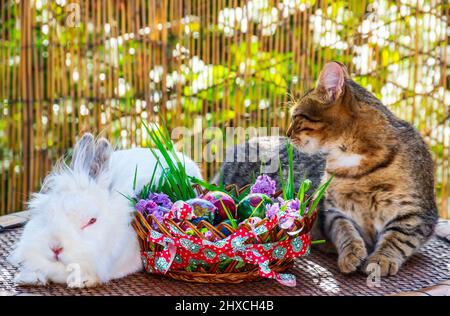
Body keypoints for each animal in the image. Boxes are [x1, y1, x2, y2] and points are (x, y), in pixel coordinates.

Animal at [216, 62, 438, 276]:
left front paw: (380, 260)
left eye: (296, 117)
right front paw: (351, 253)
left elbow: (397, 239)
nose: (287, 133)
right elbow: (345, 230)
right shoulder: (331, 210)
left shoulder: (416, 214)